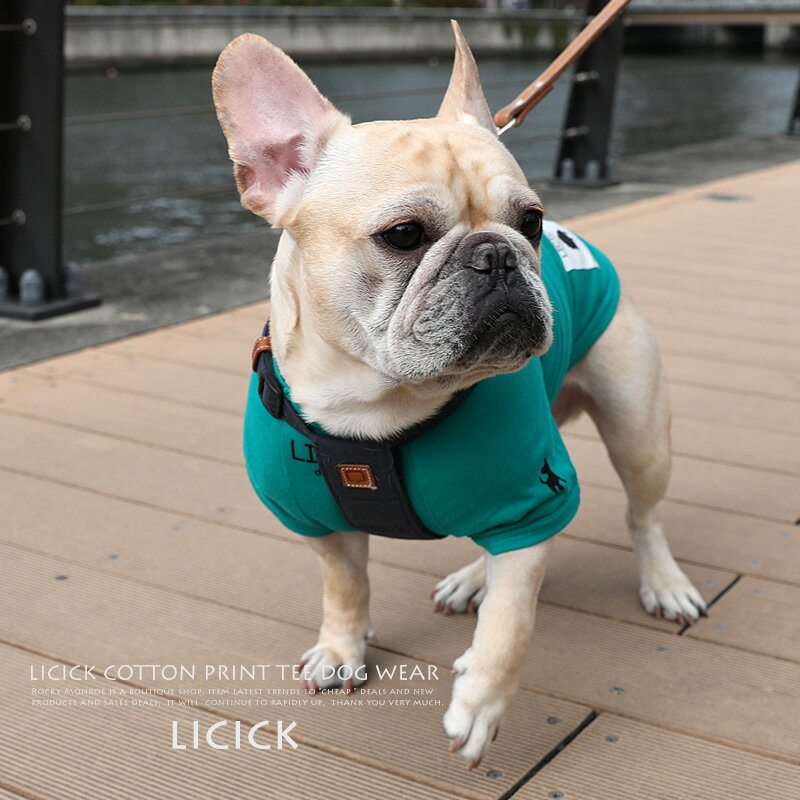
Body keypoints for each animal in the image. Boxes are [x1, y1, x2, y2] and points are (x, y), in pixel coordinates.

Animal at [212, 23, 707, 769]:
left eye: (531, 221)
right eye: (403, 235)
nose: (498, 255)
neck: (379, 405)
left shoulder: (535, 499)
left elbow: (511, 624)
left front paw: (480, 704)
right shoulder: (317, 521)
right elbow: (345, 585)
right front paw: (341, 648)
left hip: (637, 428)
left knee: (642, 517)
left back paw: (664, 584)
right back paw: (473, 577)